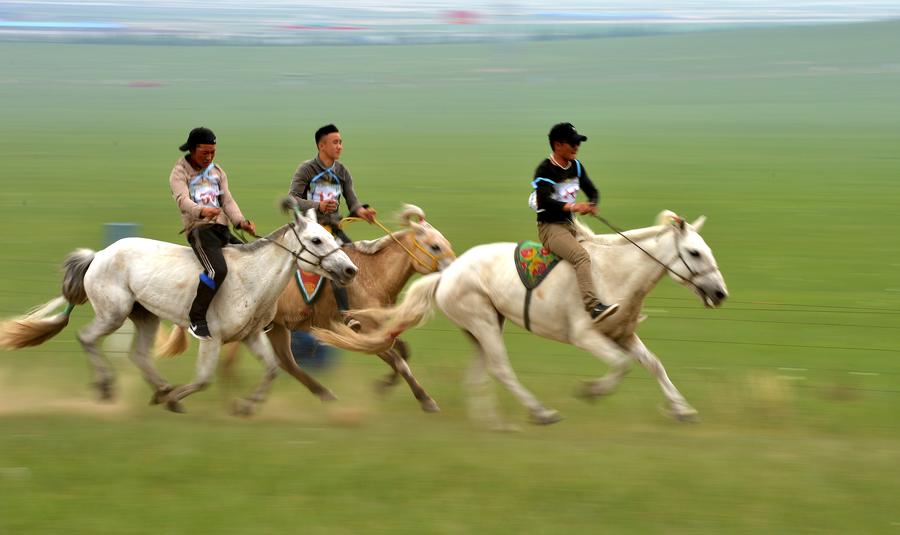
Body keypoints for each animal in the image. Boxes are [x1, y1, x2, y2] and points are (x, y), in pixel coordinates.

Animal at [0, 201, 358, 414]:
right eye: (316, 240)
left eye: (331, 236)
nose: (349, 270)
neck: (252, 278)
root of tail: (98, 255)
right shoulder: (212, 339)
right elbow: (203, 379)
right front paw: (175, 400)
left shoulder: (251, 336)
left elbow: (271, 369)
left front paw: (245, 406)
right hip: (113, 313)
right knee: (87, 338)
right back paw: (108, 388)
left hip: (144, 316)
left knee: (138, 354)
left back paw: (159, 389)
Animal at [156, 205, 458, 414]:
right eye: (435, 246)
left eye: (446, 243)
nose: (454, 270)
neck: (373, 276)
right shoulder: (364, 333)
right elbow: (400, 361)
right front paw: (426, 400)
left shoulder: (380, 331)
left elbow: (402, 354)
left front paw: (384, 386)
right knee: (238, 363)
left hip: (276, 328)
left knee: (285, 362)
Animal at [312, 211, 728, 430]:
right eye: (694, 252)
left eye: (707, 250)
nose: (720, 293)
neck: (614, 273)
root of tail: (447, 274)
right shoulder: (587, 336)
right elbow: (622, 366)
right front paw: (591, 391)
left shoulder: (623, 334)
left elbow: (653, 365)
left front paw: (682, 409)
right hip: (482, 322)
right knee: (501, 368)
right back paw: (540, 412)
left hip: (483, 327)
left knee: (479, 373)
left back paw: (490, 421)